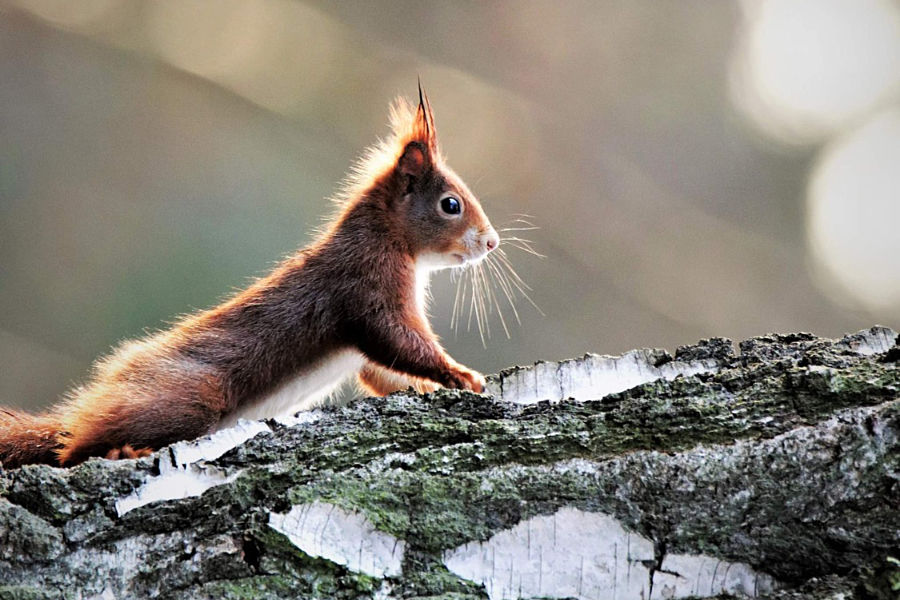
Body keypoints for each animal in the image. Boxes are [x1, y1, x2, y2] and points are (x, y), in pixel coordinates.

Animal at [0, 85, 500, 468]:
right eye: (451, 204)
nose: (493, 242)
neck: (389, 240)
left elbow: (378, 372)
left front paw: (427, 386)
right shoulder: (365, 282)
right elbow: (397, 340)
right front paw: (460, 375)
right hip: (193, 393)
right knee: (71, 449)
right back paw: (118, 450)